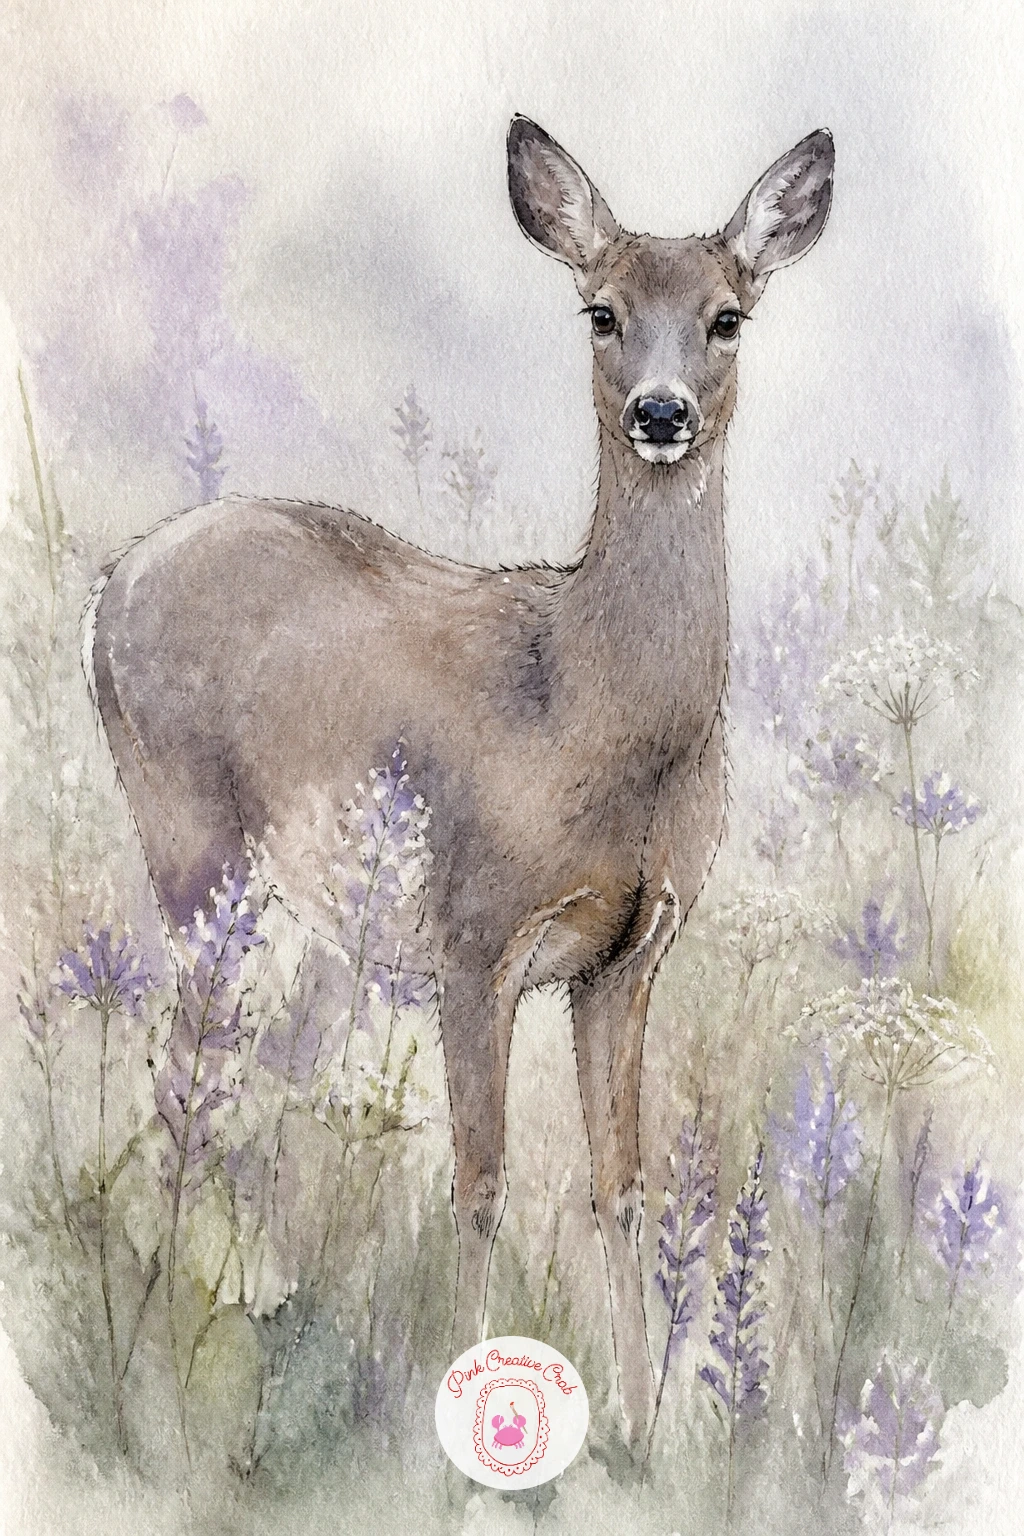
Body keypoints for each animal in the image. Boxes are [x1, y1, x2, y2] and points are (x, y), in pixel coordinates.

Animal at [86, 116, 834, 1450]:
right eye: (600, 311)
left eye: (728, 316)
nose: (659, 412)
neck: (591, 705)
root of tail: (104, 589)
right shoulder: (476, 936)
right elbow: (480, 1183)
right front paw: (456, 1410)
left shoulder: (626, 956)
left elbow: (621, 1187)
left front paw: (640, 1429)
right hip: (187, 834)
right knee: (193, 1062)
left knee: (246, 1064)